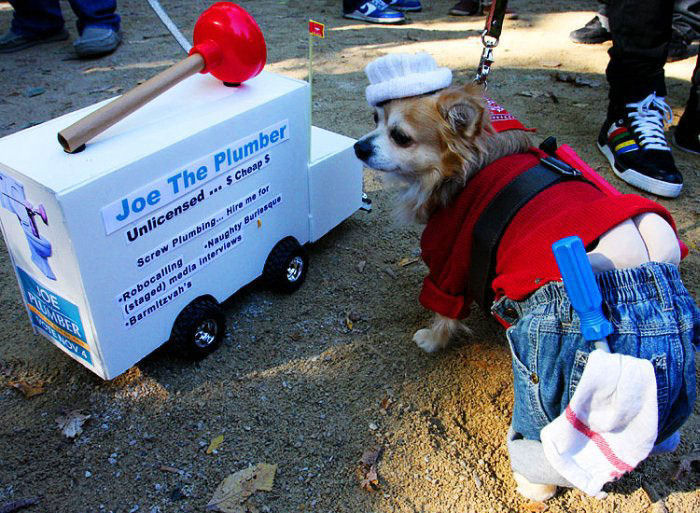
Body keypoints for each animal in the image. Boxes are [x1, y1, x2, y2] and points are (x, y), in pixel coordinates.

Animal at [356, 53, 696, 500]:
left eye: (400, 137)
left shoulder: (450, 257)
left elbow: (445, 308)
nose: (359, 146)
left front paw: (432, 338)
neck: (477, 160)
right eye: (375, 118)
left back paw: (532, 482)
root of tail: (642, 265)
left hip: (547, 366)